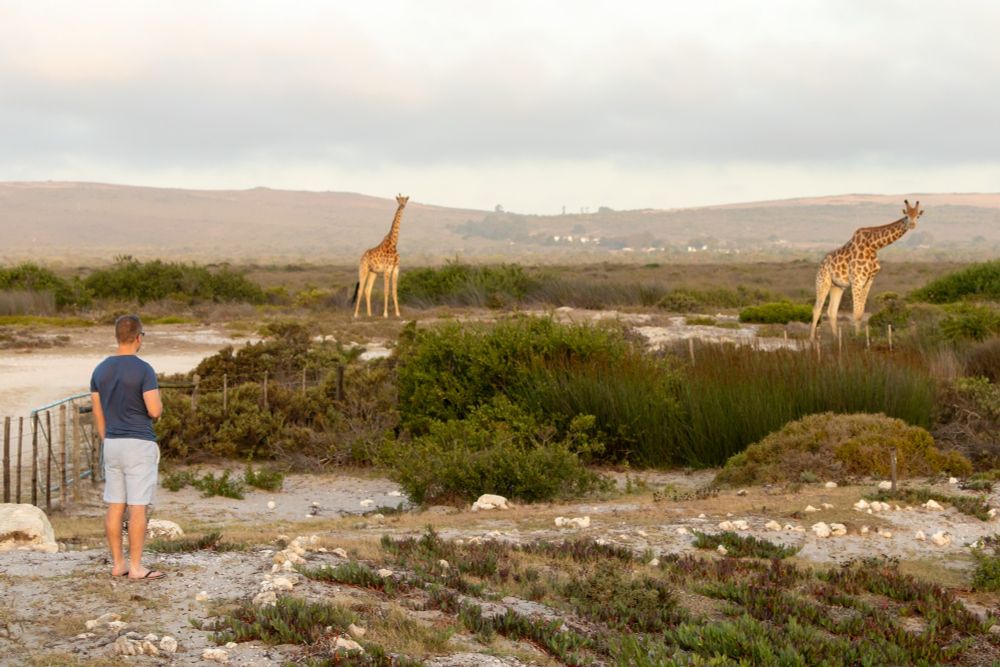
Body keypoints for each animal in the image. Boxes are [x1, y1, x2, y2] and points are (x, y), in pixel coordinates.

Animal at [809, 199, 923, 340]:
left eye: (917, 216)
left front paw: (862, 338)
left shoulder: (869, 280)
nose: (912, 225)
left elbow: (861, 313)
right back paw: (811, 340)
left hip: (837, 286)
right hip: (822, 281)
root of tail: (821, 262)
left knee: (831, 311)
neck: (874, 246)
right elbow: (856, 313)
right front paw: (857, 339)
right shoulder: (857, 280)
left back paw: (836, 339)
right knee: (817, 309)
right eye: (906, 215)